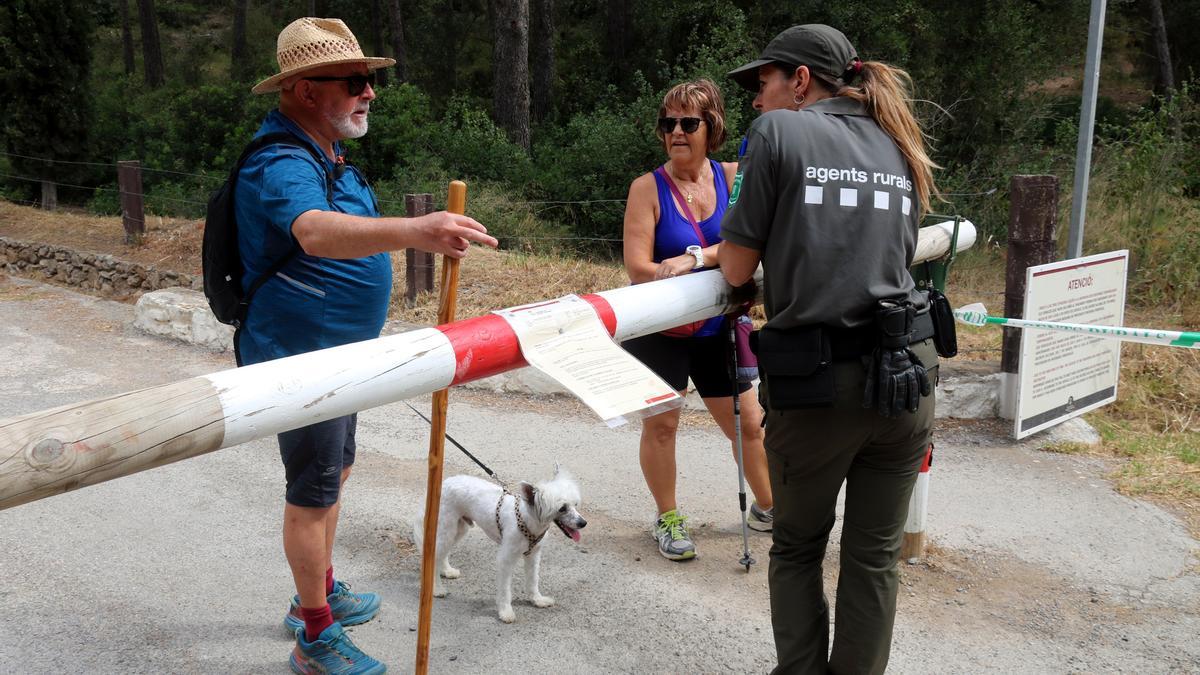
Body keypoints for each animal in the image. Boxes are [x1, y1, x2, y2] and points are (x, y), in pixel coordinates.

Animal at [412, 461, 585, 619]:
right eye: (562, 508)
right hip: (448, 529)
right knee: (435, 556)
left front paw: (537, 600)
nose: (583, 523)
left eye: (575, 504)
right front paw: (505, 611)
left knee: (442, 553)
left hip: (459, 529)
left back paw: (447, 571)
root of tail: (445, 483)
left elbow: (533, 580)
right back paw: (436, 589)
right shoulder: (505, 559)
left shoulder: (533, 556)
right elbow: (505, 589)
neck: (528, 520)